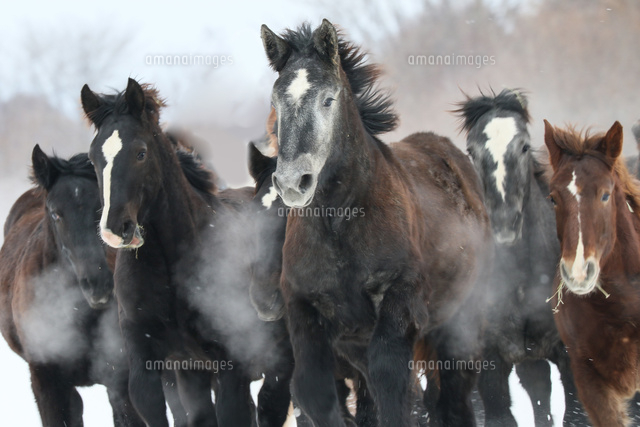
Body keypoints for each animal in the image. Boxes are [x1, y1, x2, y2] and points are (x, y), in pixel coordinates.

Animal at [260, 20, 492, 426]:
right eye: (275, 103)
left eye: (327, 99)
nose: (292, 183)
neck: (339, 225)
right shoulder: (303, 306)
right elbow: (313, 389)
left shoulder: (399, 295)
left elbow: (392, 383)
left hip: (459, 325)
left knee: (454, 402)